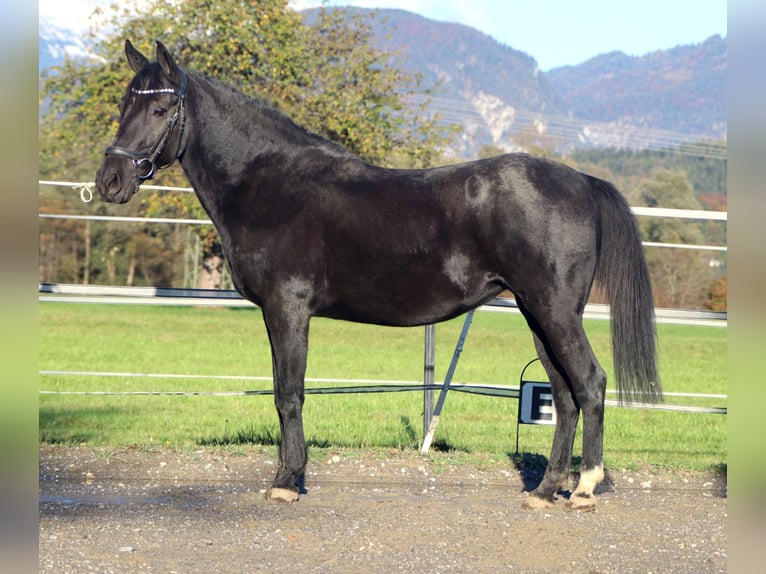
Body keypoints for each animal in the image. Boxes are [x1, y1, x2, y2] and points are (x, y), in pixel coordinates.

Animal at [96, 40, 661, 510]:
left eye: (161, 109)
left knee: (590, 383)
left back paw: (584, 489)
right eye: (123, 106)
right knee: (564, 395)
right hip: (536, 313)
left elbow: (289, 394)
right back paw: (544, 492)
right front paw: (288, 476)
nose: (110, 180)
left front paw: (287, 482)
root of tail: (581, 180)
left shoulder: (288, 309)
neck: (272, 184)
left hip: (554, 311)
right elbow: (283, 391)